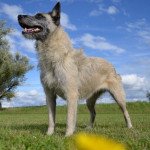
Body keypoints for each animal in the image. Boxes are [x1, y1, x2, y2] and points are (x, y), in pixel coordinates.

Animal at [17, 2, 132, 136]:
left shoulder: (71, 96)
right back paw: (89, 128)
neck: (56, 57)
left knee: (125, 112)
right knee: (93, 113)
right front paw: (49, 135)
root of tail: (111, 66)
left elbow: (69, 118)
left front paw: (68, 136)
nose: (19, 16)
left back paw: (130, 127)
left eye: (39, 16)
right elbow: (51, 119)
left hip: (118, 96)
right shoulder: (49, 96)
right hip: (90, 100)